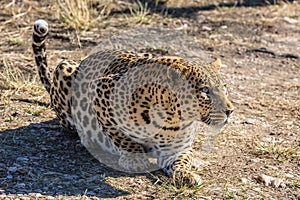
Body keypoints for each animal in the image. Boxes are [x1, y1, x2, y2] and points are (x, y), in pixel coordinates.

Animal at [32, 18, 234, 188]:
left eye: (224, 87)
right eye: (205, 91)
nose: (230, 111)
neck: (171, 117)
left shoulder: (175, 150)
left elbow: (182, 161)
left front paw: (187, 176)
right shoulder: (102, 92)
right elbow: (122, 137)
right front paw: (135, 158)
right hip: (64, 69)